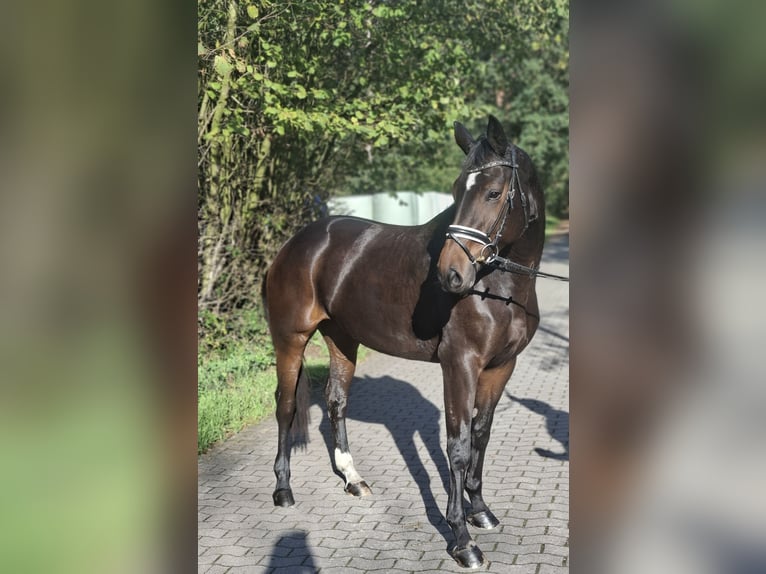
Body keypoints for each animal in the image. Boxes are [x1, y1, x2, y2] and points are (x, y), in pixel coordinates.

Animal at [262, 115, 545, 568]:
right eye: (456, 190)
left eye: (493, 192)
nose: (450, 273)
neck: (498, 289)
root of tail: (294, 245)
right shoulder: (460, 365)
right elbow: (458, 446)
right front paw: (462, 539)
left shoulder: (502, 367)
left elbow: (481, 435)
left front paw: (481, 511)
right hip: (290, 340)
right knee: (286, 407)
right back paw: (284, 489)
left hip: (342, 338)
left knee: (336, 402)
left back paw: (353, 479)